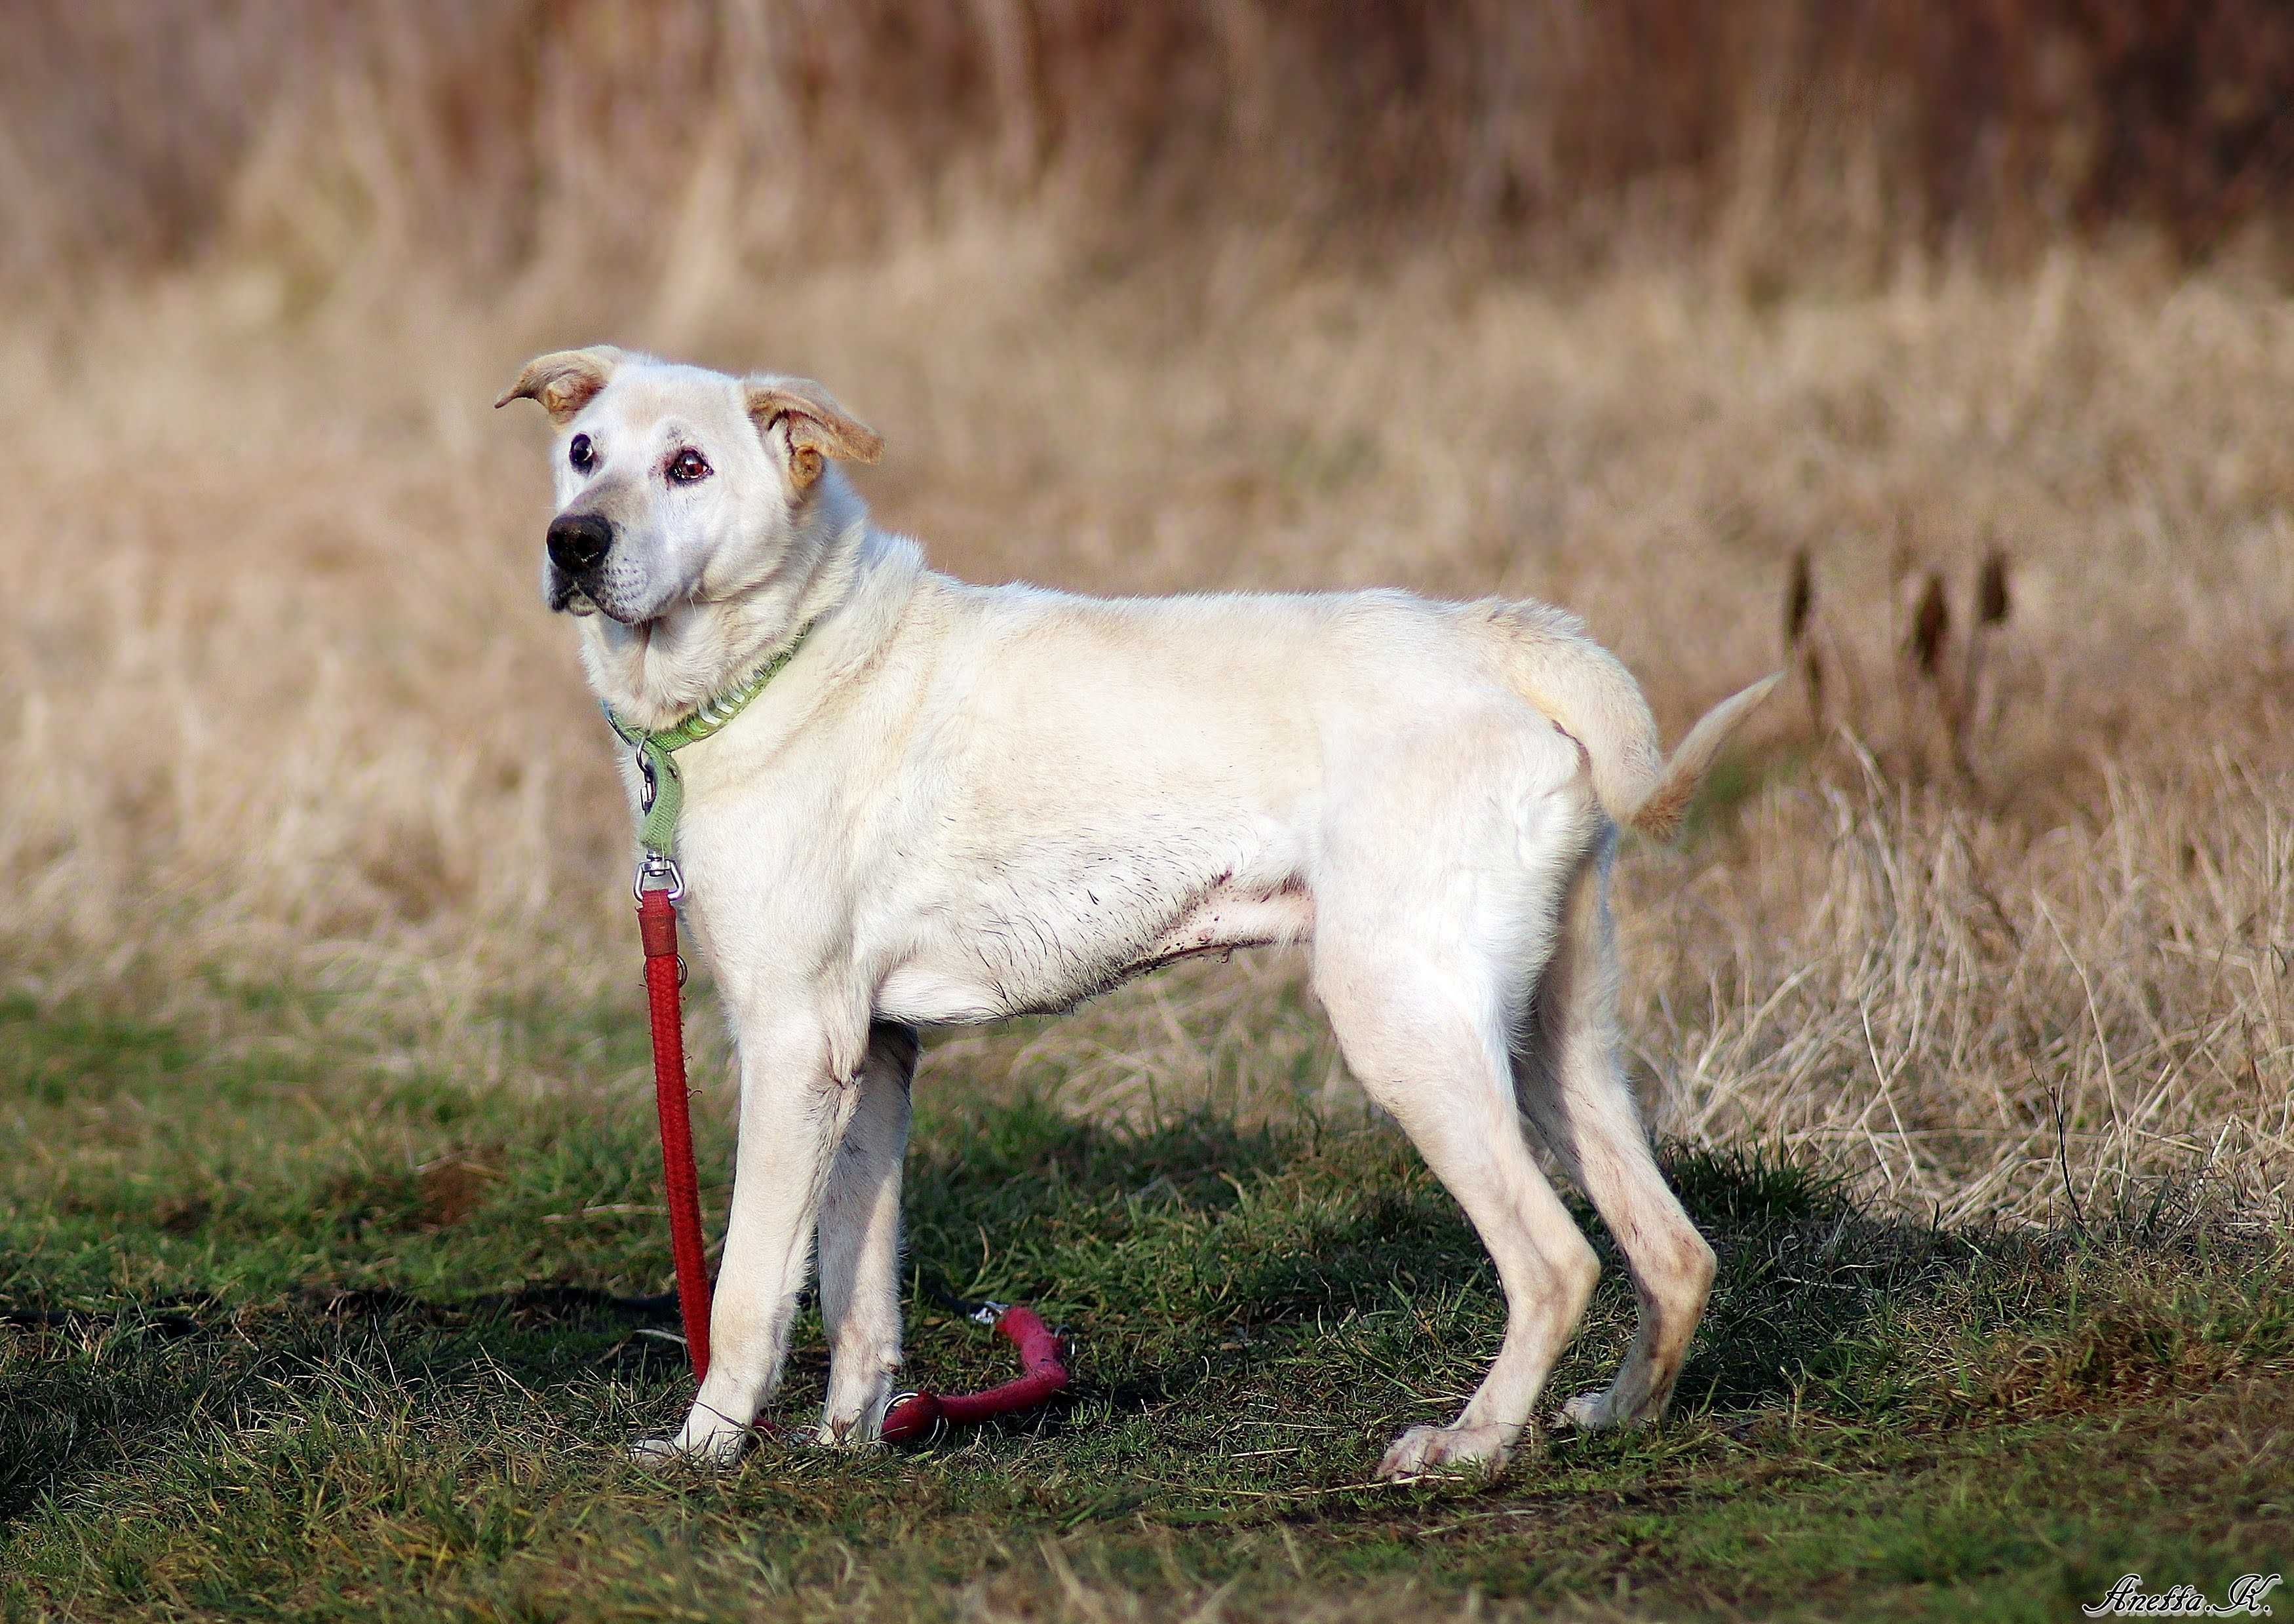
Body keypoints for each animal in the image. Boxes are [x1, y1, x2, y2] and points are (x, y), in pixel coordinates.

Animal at [488, 349, 1771, 1477]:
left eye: (690, 466)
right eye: (583, 451)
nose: (573, 542)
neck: (788, 653)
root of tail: (1500, 639)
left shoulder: (792, 1043)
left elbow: (752, 1284)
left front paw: (706, 1447)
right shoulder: (876, 1055)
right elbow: (861, 1280)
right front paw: (853, 1439)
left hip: (1406, 1023)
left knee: (1557, 1260)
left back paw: (1468, 1445)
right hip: (1557, 1036)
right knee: (1678, 1249)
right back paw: (1614, 1415)